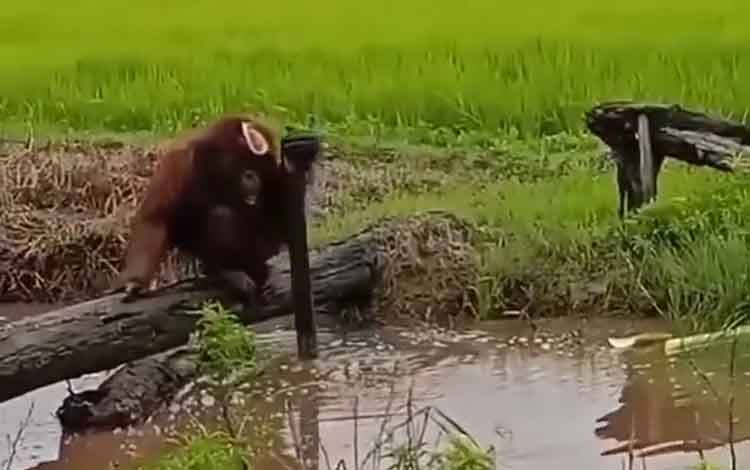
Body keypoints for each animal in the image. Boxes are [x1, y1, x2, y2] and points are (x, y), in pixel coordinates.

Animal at [107, 113, 318, 305]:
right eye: (248, 168)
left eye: (256, 170)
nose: (252, 179)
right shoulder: (179, 161)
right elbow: (155, 218)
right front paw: (135, 282)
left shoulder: (269, 171)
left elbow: (284, 218)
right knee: (220, 216)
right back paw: (227, 270)